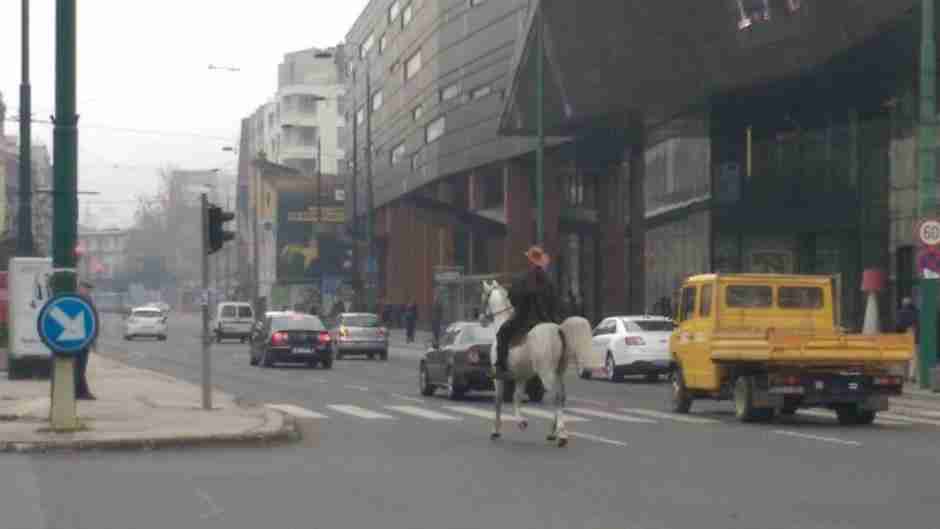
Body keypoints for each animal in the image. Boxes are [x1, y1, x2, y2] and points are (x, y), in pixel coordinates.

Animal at [482, 280, 592, 446]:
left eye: (484, 296)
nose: (481, 318)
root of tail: (559, 329)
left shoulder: (498, 378)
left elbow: (498, 400)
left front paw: (495, 431)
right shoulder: (521, 377)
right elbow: (516, 398)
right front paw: (521, 422)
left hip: (546, 373)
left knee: (556, 397)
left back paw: (562, 435)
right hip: (559, 372)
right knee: (562, 397)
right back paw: (553, 433)